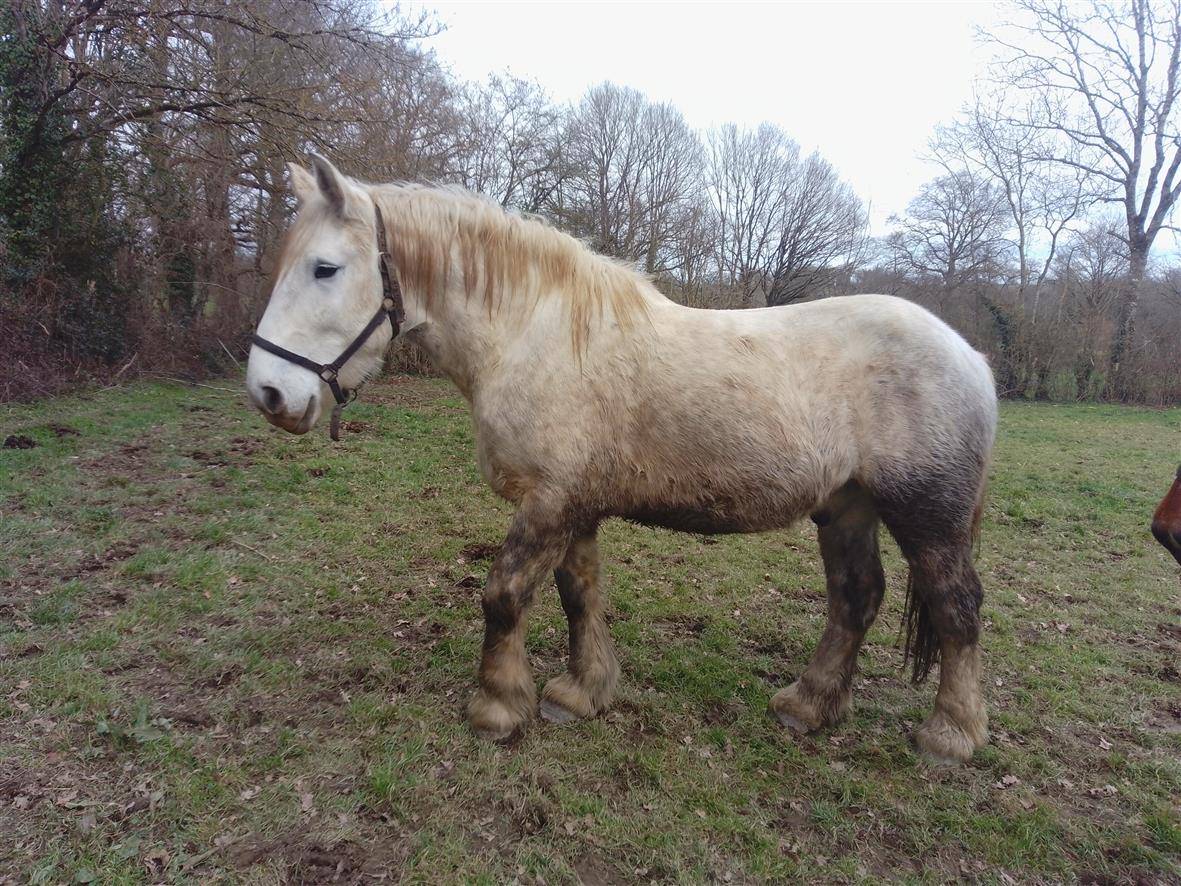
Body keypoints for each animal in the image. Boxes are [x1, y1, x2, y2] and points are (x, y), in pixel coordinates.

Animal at [245, 155, 998, 765]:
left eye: (324, 268)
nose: (269, 393)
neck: (534, 335)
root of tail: (972, 356)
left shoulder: (548, 503)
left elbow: (503, 596)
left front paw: (498, 706)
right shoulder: (573, 505)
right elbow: (578, 595)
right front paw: (581, 693)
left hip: (928, 517)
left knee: (956, 608)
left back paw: (950, 736)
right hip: (846, 506)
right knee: (855, 597)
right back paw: (807, 706)